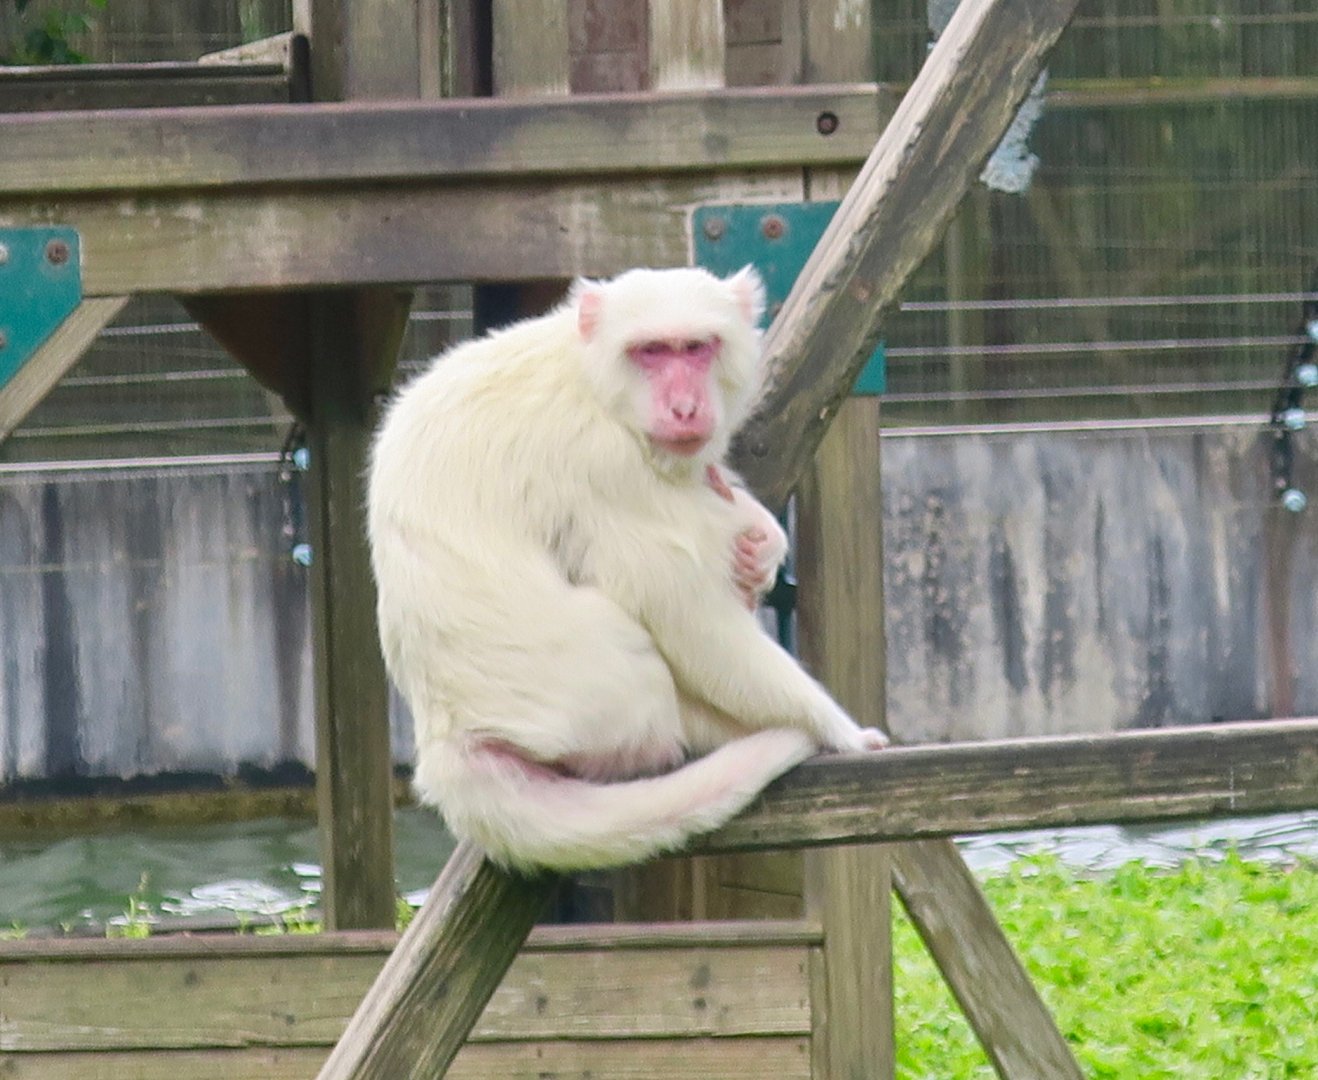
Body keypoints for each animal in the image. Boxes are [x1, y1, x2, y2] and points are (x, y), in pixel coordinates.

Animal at [367, 266, 886, 873]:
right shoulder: (604, 461)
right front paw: (838, 730)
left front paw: (759, 540)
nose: (684, 407)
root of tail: (451, 743)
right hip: (600, 711)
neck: (593, 378)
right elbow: (683, 612)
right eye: (652, 351)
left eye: (697, 348)